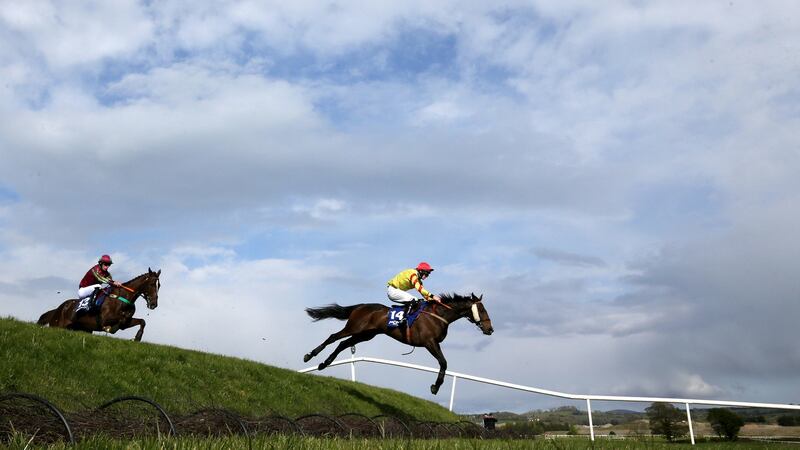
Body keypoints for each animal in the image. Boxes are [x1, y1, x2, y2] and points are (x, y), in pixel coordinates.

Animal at [304, 292, 490, 394]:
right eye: (482, 310)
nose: (490, 329)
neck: (439, 315)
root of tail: (361, 306)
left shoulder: (433, 343)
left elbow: (443, 363)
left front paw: (435, 386)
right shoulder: (429, 342)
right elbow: (443, 362)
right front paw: (435, 387)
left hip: (365, 335)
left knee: (342, 344)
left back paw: (324, 363)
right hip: (354, 327)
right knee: (333, 337)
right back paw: (309, 355)